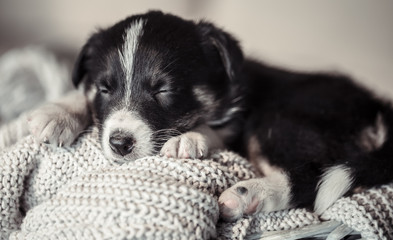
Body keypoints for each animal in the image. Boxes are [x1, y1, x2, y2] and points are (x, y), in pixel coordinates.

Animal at [27, 11, 392, 221]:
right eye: (105, 88)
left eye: (163, 90)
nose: (120, 143)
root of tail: (377, 106)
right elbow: (82, 96)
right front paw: (56, 115)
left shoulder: (242, 114)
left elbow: (216, 127)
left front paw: (187, 139)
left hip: (281, 122)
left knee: (308, 177)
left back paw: (246, 196)